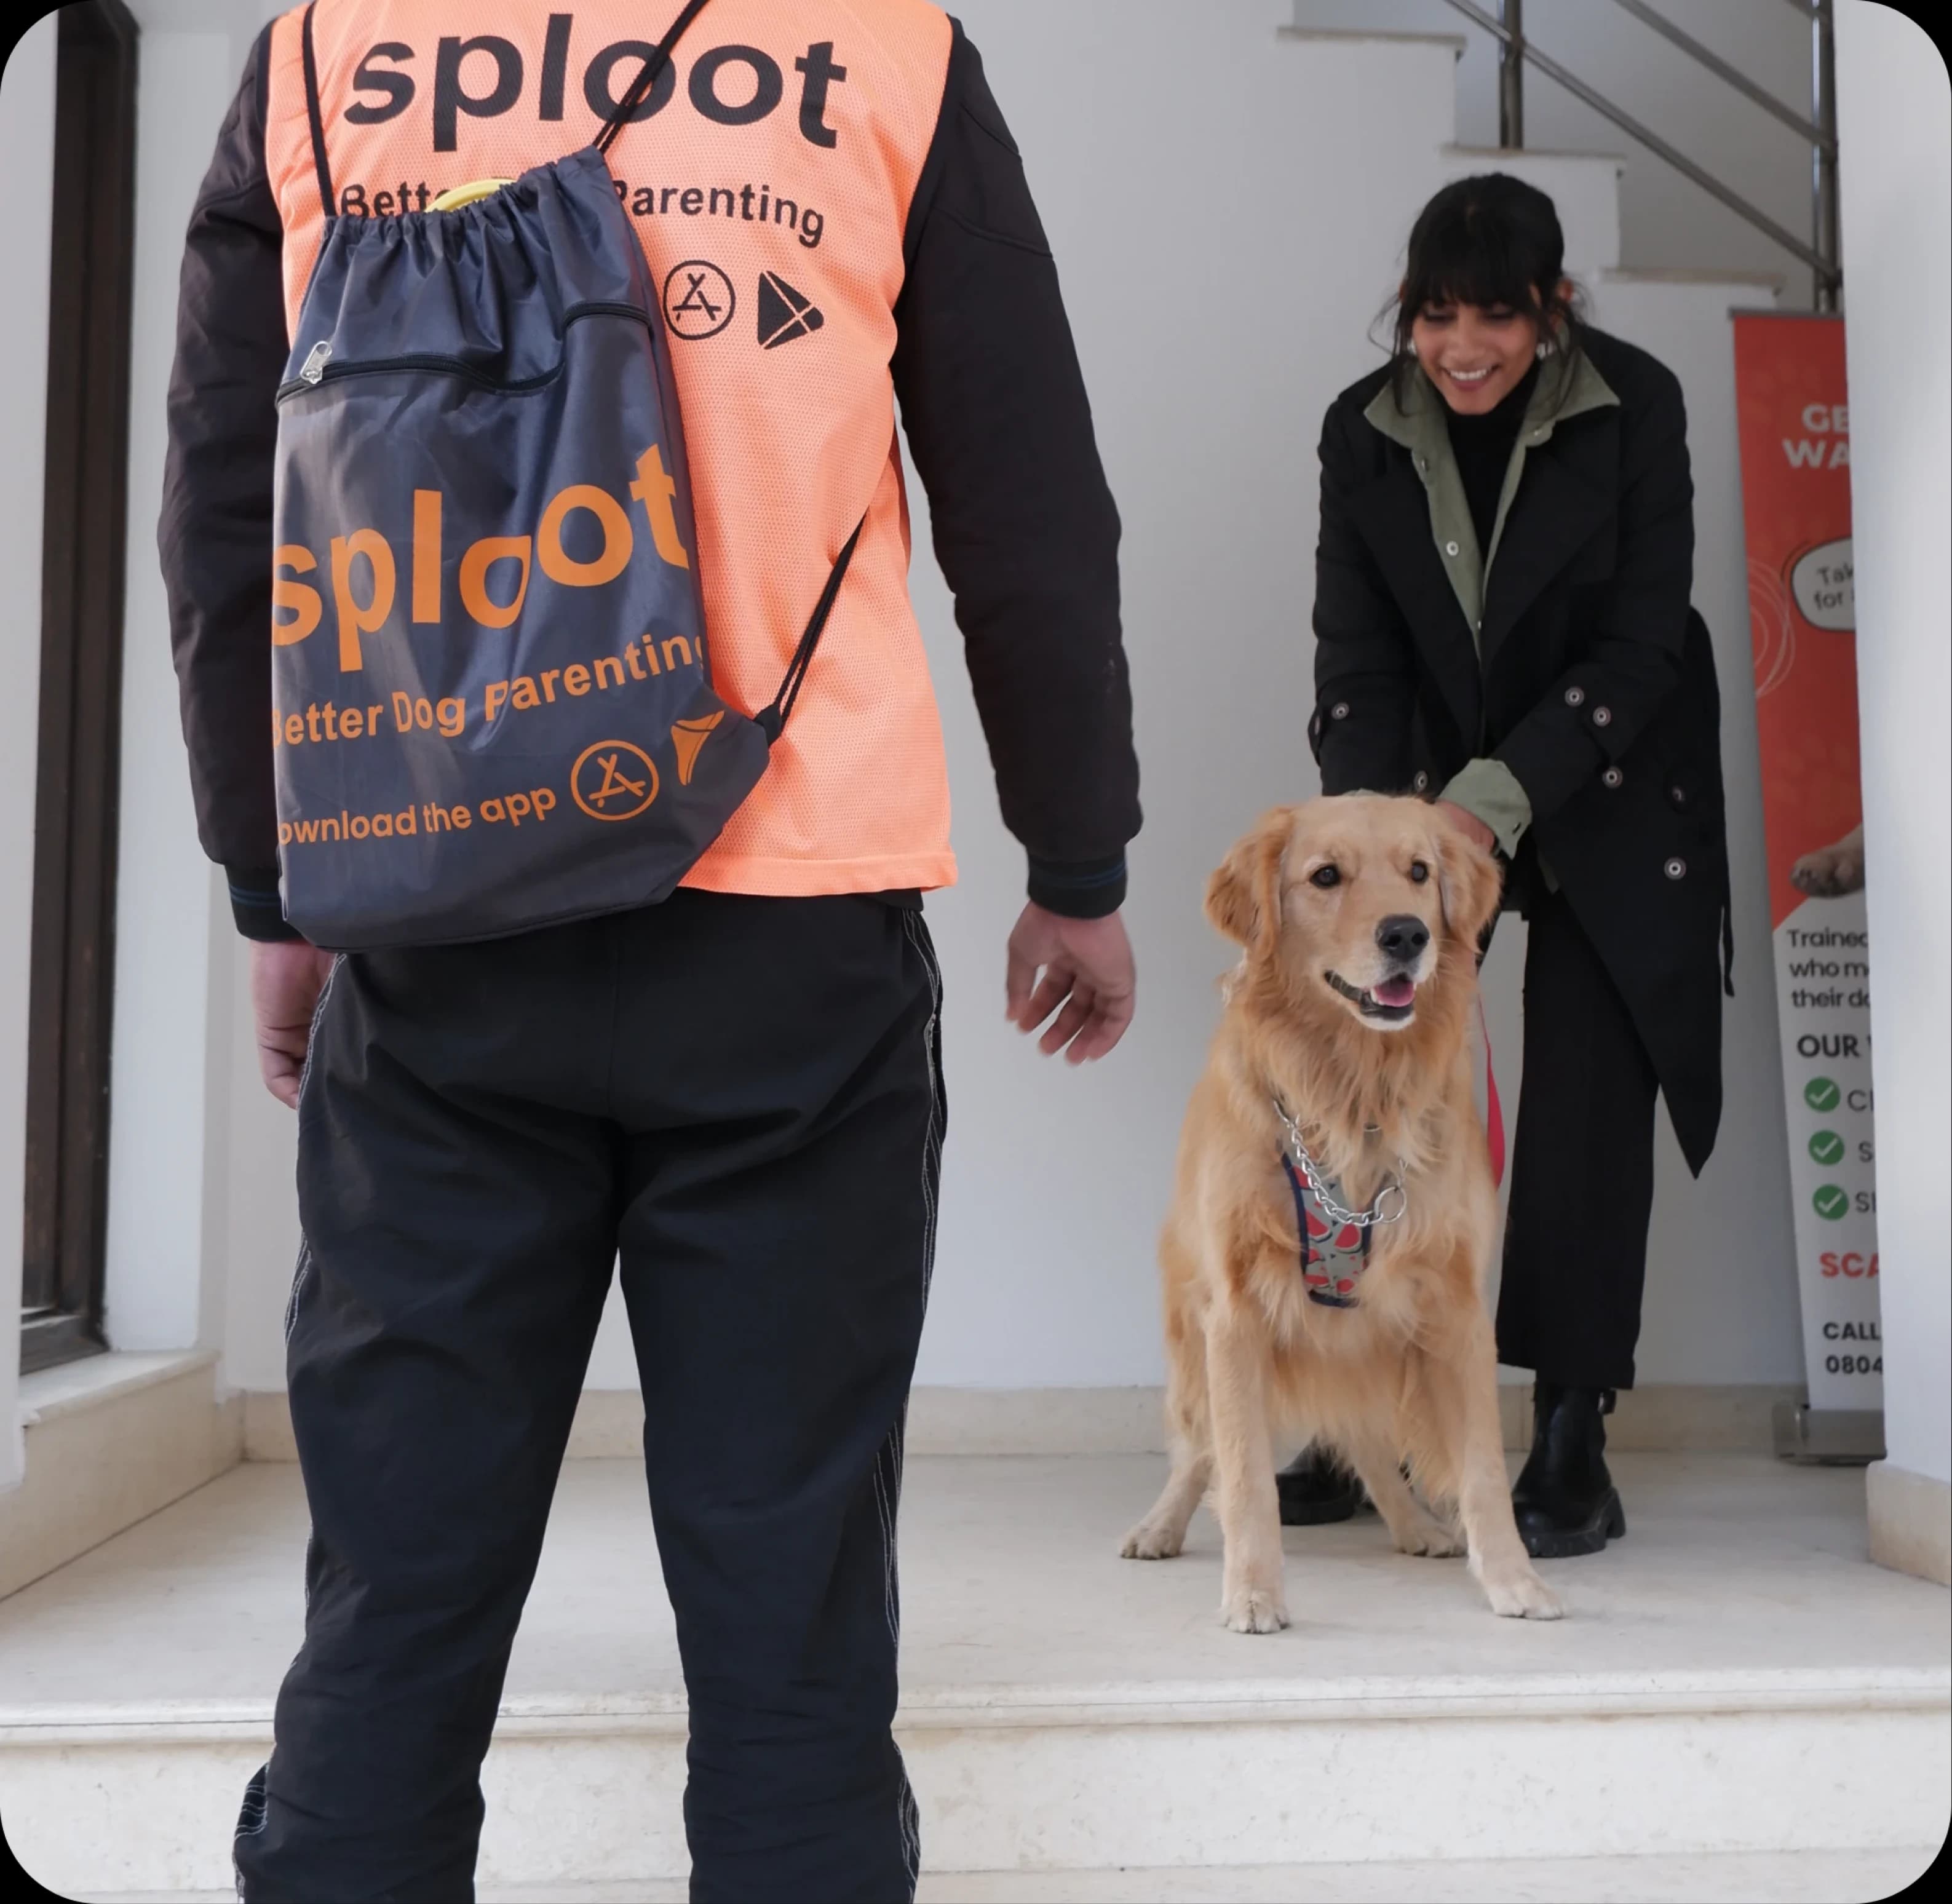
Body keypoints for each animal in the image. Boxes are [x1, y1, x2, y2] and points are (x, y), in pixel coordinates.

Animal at [1124, 796, 1561, 1632]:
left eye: (1419, 872)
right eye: (1325, 877)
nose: (1407, 935)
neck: (1354, 1092)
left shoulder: (1455, 1307)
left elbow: (1485, 1470)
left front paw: (1515, 1580)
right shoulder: (1235, 1312)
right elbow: (1244, 1474)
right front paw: (1253, 1591)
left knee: (1367, 1445)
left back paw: (1418, 1526)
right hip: (1195, 1338)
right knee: (1198, 1449)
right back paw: (1157, 1527)